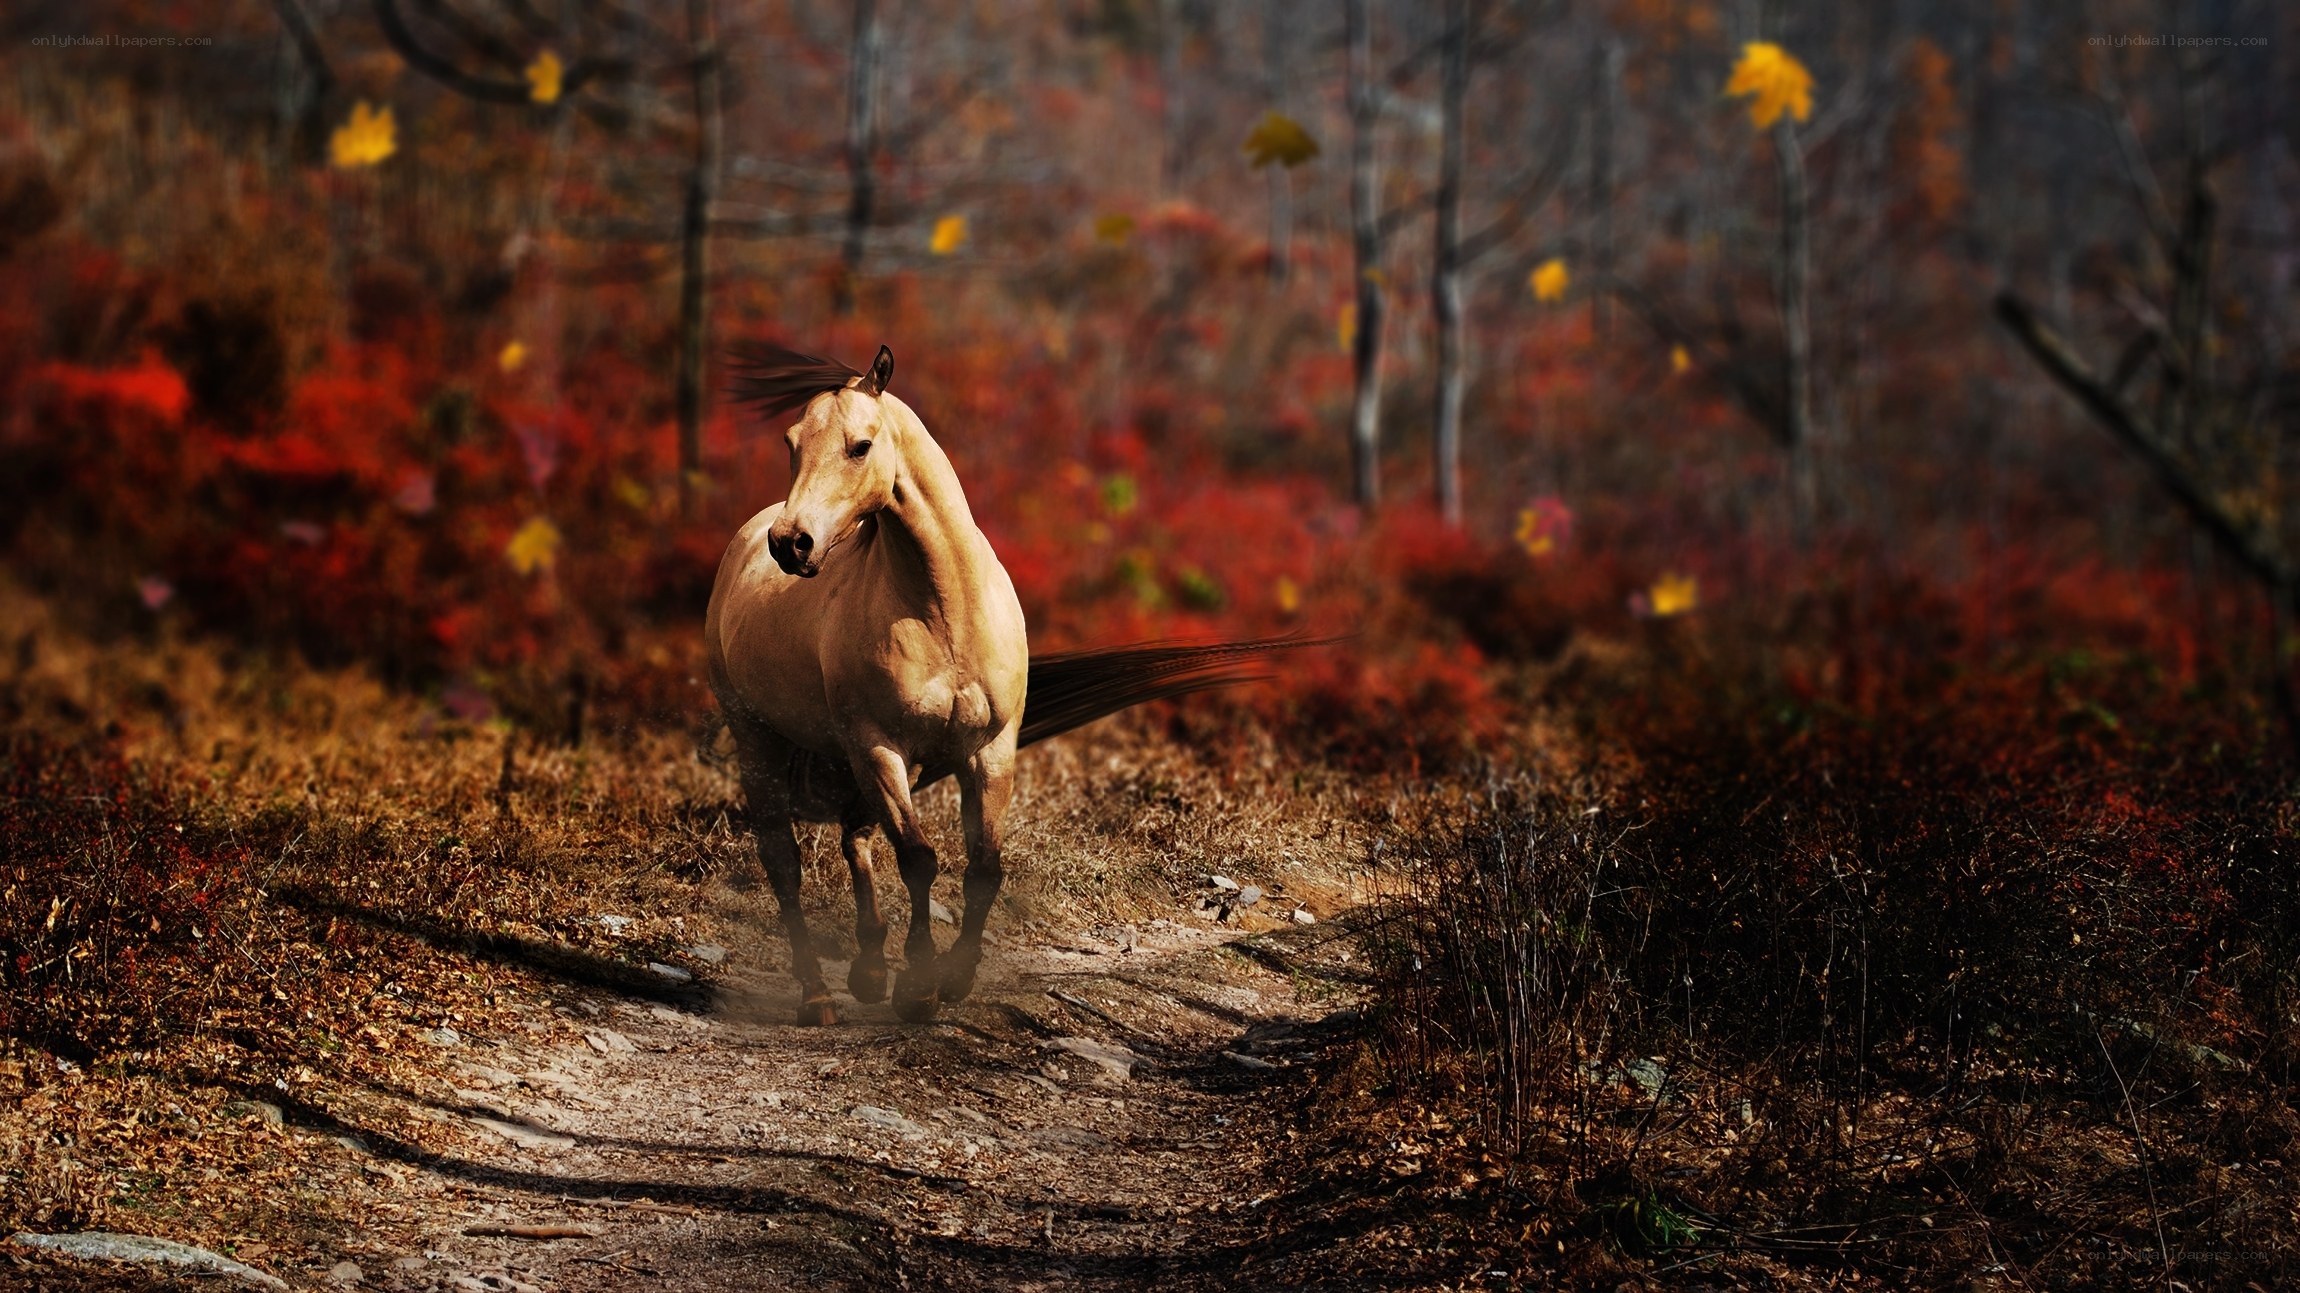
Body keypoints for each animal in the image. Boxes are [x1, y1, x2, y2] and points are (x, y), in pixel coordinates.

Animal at [709, 343, 1309, 1025]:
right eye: (791, 443)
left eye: (859, 446)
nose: (792, 544)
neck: (944, 611)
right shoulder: (882, 746)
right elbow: (919, 859)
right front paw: (919, 987)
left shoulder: (988, 749)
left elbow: (985, 867)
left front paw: (954, 978)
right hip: (768, 739)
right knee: (784, 862)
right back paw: (817, 997)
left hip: (855, 756)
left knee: (854, 837)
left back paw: (867, 972)